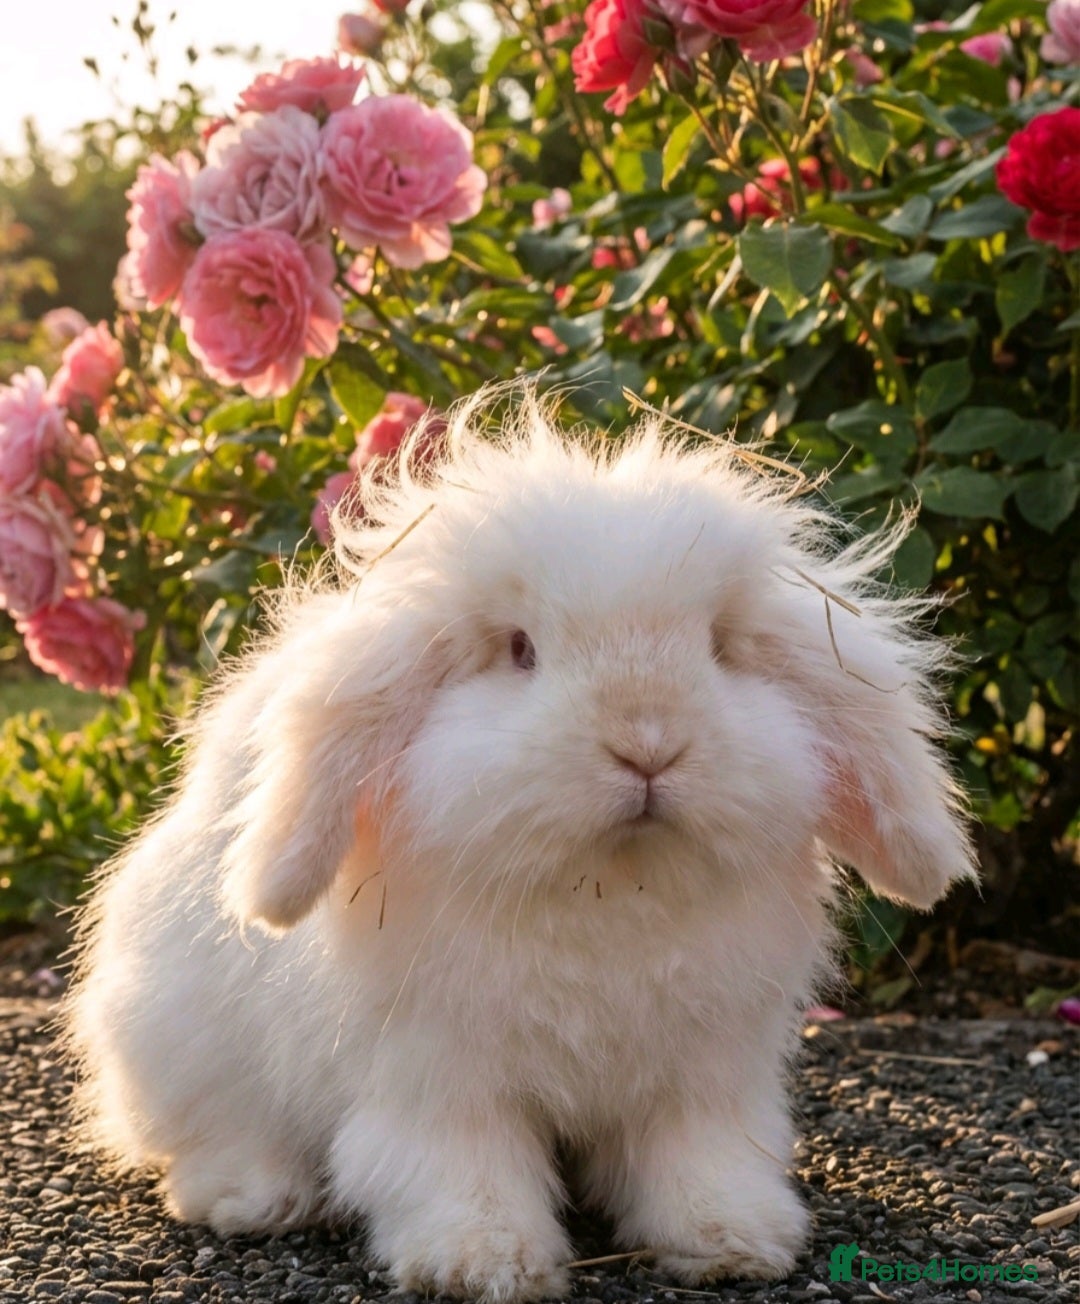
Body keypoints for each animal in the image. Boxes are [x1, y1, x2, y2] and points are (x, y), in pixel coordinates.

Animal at [64, 389, 976, 1304]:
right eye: (520, 649)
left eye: (719, 646)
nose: (648, 744)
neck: (610, 891)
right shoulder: (440, 1081)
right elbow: (462, 1169)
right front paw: (481, 1263)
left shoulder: (702, 1077)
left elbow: (699, 1156)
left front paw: (731, 1241)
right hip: (175, 1039)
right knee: (209, 1133)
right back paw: (254, 1198)